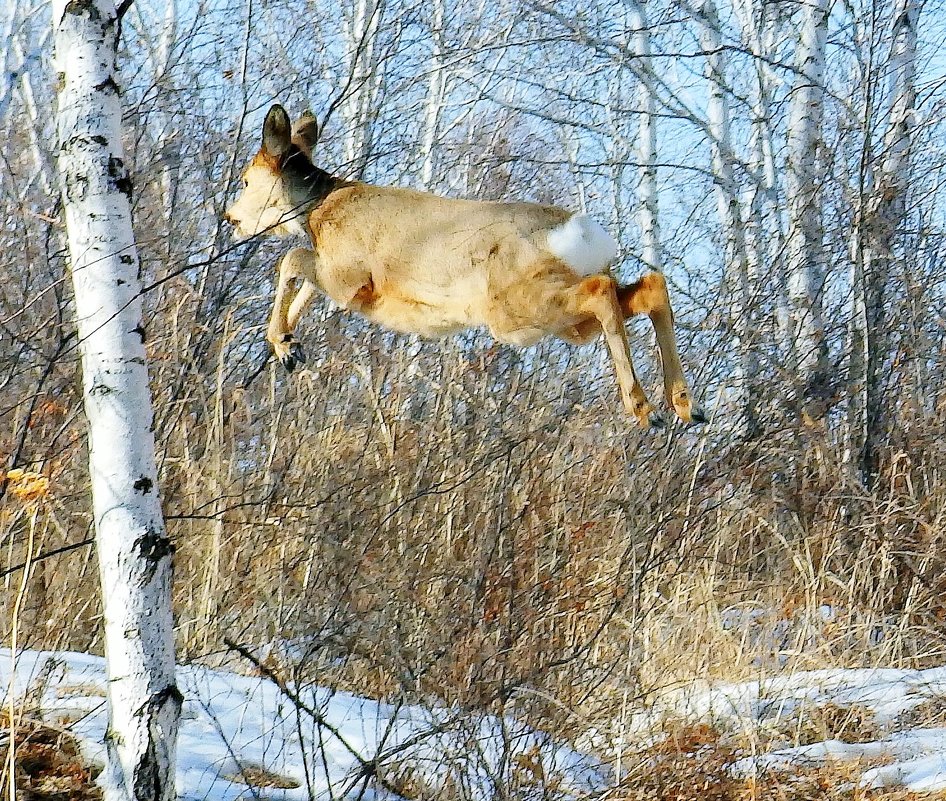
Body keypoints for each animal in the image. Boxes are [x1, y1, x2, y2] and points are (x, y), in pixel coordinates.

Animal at [225, 108, 704, 428]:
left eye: (247, 179)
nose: (231, 218)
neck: (319, 209)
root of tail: (580, 232)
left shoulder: (352, 274)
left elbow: (292, 259)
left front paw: (283, 343)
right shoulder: (341, 281)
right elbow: (304, 280)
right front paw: (290, 346)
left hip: (515, 307)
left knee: (603, 291)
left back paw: (644, 409)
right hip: (559, 318)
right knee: (647, 285)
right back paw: (686, 406)